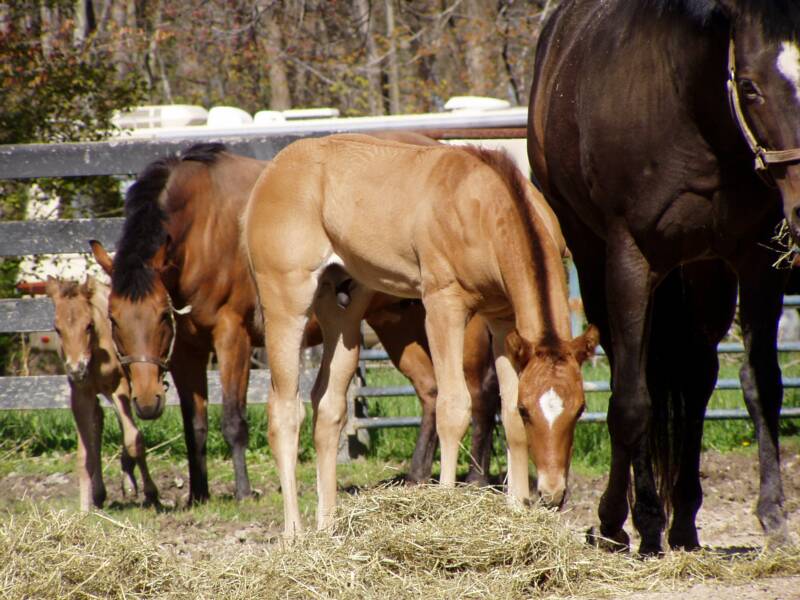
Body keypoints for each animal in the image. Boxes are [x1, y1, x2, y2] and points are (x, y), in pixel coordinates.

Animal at [43, 276, 159, 510]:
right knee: (99, 421)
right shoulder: (80, 394)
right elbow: (84, 453)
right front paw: (84, 507)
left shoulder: (119, 386)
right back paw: (99, 493)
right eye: (57, 329)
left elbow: (134, 439)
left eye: (89, 325)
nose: (76, 368)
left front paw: (151, 493)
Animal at [89, 139, 500, 502]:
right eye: (113, 319)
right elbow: (196, 425)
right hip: (396, 324)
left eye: (161, 316)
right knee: (430, 390)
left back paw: (476, 477)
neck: (203, 230)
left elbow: (233, 420)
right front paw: (198, 493)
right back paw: (418, 476)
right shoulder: (185, 350)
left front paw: (243, 491)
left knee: (480, 393)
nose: (146, 401)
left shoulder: (232, 336)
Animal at [244, 135, 600, 536]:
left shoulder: (503, 319)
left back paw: (328, 527)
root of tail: (274, 170)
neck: (487, 203)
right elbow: (454, 406)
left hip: (341, 307)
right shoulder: (443, 306)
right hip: (286, 301)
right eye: (530, 411)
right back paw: (294, 535)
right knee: (285, 409)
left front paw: (518, 511)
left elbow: (505, 412)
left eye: (580, 409)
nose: (554, 492)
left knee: (329, 406)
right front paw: (445, 504)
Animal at [532, 0, 800, 552]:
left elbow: (762, 384)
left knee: (697, 378)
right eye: (749, 87)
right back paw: (642, 519)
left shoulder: (755, 264)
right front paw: (621, 519)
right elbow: (632, 401)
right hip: (592, 258)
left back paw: (683, 522)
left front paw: (774, 518)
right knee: (631, 375)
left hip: (703, 272)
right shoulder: (630, 262)